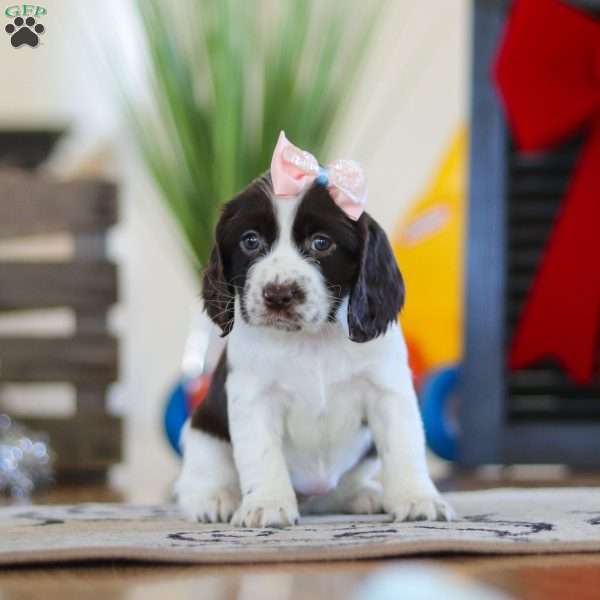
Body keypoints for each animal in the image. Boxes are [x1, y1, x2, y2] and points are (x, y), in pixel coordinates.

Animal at [176, 134, 452, 528]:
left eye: (322, 243)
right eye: (250, 241)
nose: (278, 294)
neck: (313, 339)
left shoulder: (388, 390)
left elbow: (404, 445)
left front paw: (416, 498)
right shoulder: (253, 398)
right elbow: (261, 455)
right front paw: (268, 504)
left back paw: (363, 495)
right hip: (203, 431)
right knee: (196, 479)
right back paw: (215, 499)